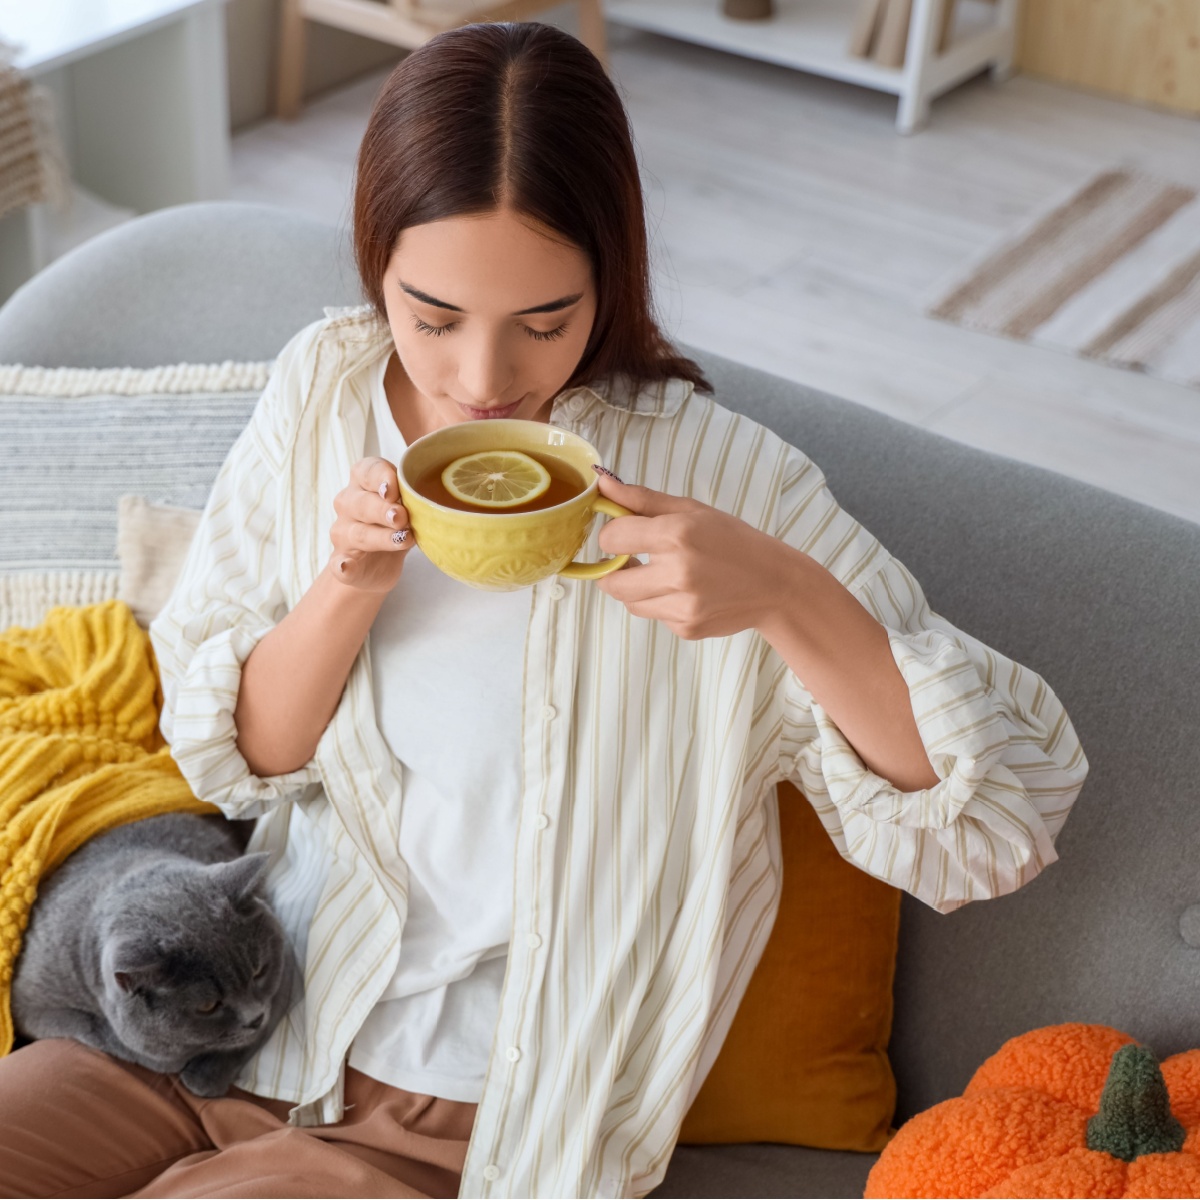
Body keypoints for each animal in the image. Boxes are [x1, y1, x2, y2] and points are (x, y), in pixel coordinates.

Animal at [12, 811, 298, 1099]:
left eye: (259, 972)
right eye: (208, 1006)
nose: (255, 1018)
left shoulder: (286, 971)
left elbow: (253, 1036)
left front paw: (206, 1077)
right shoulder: (28, 1005)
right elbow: (99, 1031)